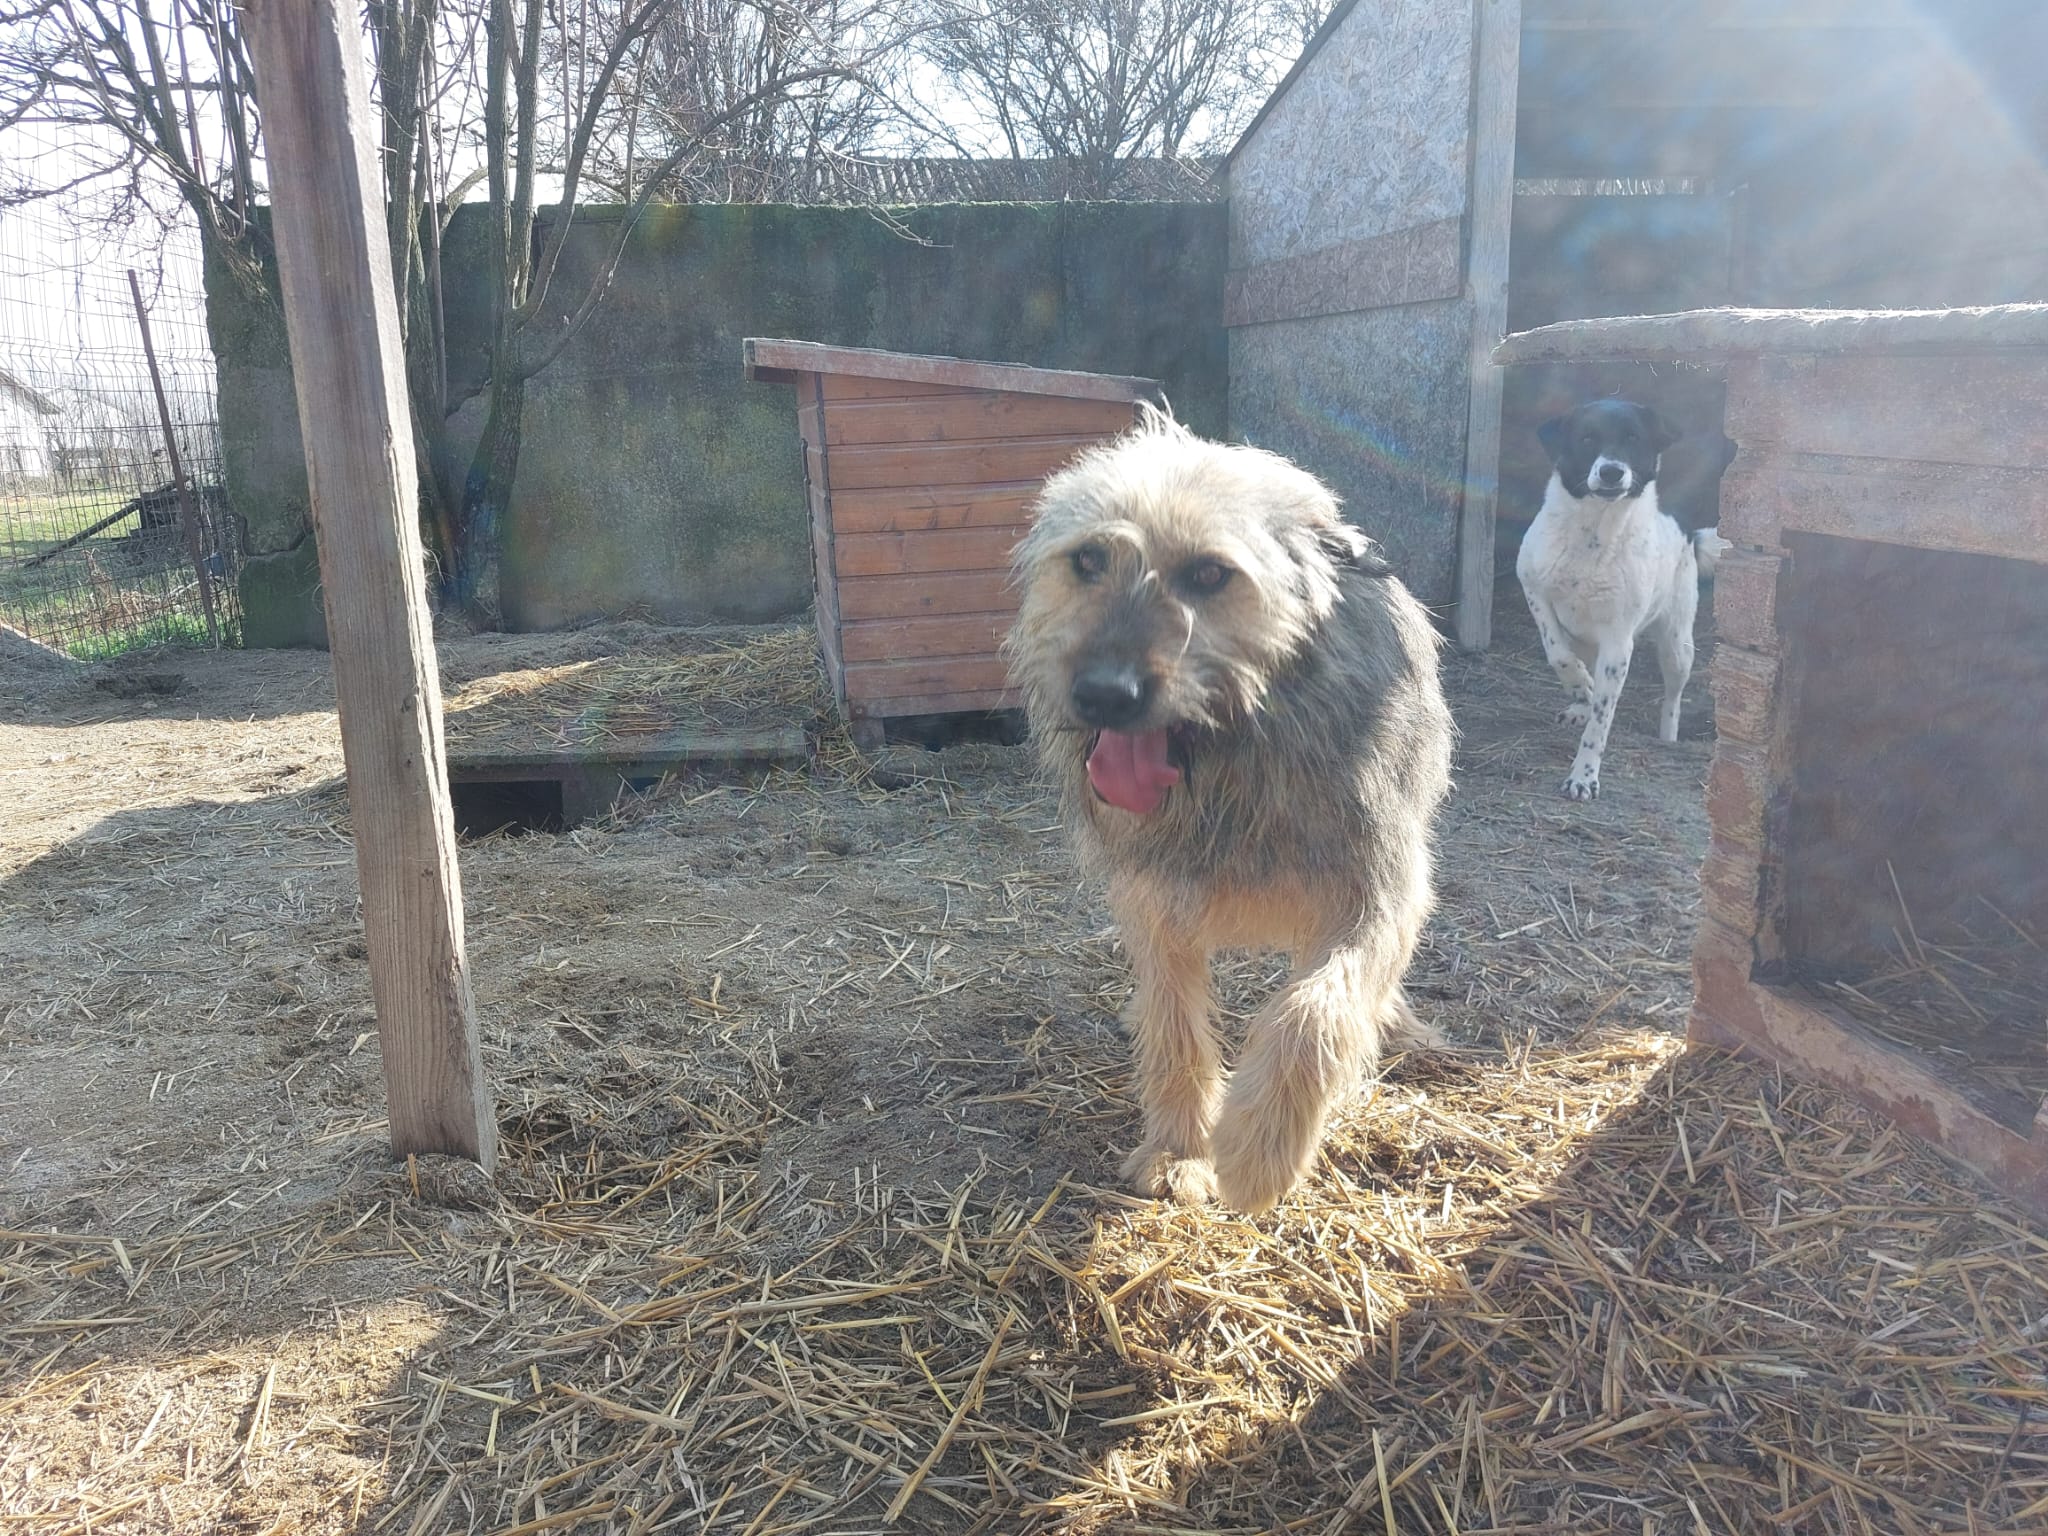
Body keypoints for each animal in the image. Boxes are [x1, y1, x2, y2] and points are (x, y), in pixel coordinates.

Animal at [1005, 412, 1454, 1214]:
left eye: (1210, 574)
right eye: (1088, 559)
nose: (1103, 694)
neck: (1234, 765)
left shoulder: (1373, 894)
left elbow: (1314, 1013)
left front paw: (1258, 1148)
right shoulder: (1158, 901)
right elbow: (1174, 1025)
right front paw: (1179, 1150)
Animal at [1516, 398, 1735, 801]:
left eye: (1634, 438)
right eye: (1587, 437)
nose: (1612, 471)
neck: (1592, 538)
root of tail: (1688, 532)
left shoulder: (1618, 645)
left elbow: (1601, 722)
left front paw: (1584, 776)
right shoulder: (1534, 591)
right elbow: (1558, 653)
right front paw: (1580, 688)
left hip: (1678, 645)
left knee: (1673, 697)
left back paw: (1667, 736)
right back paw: (1580, 701)